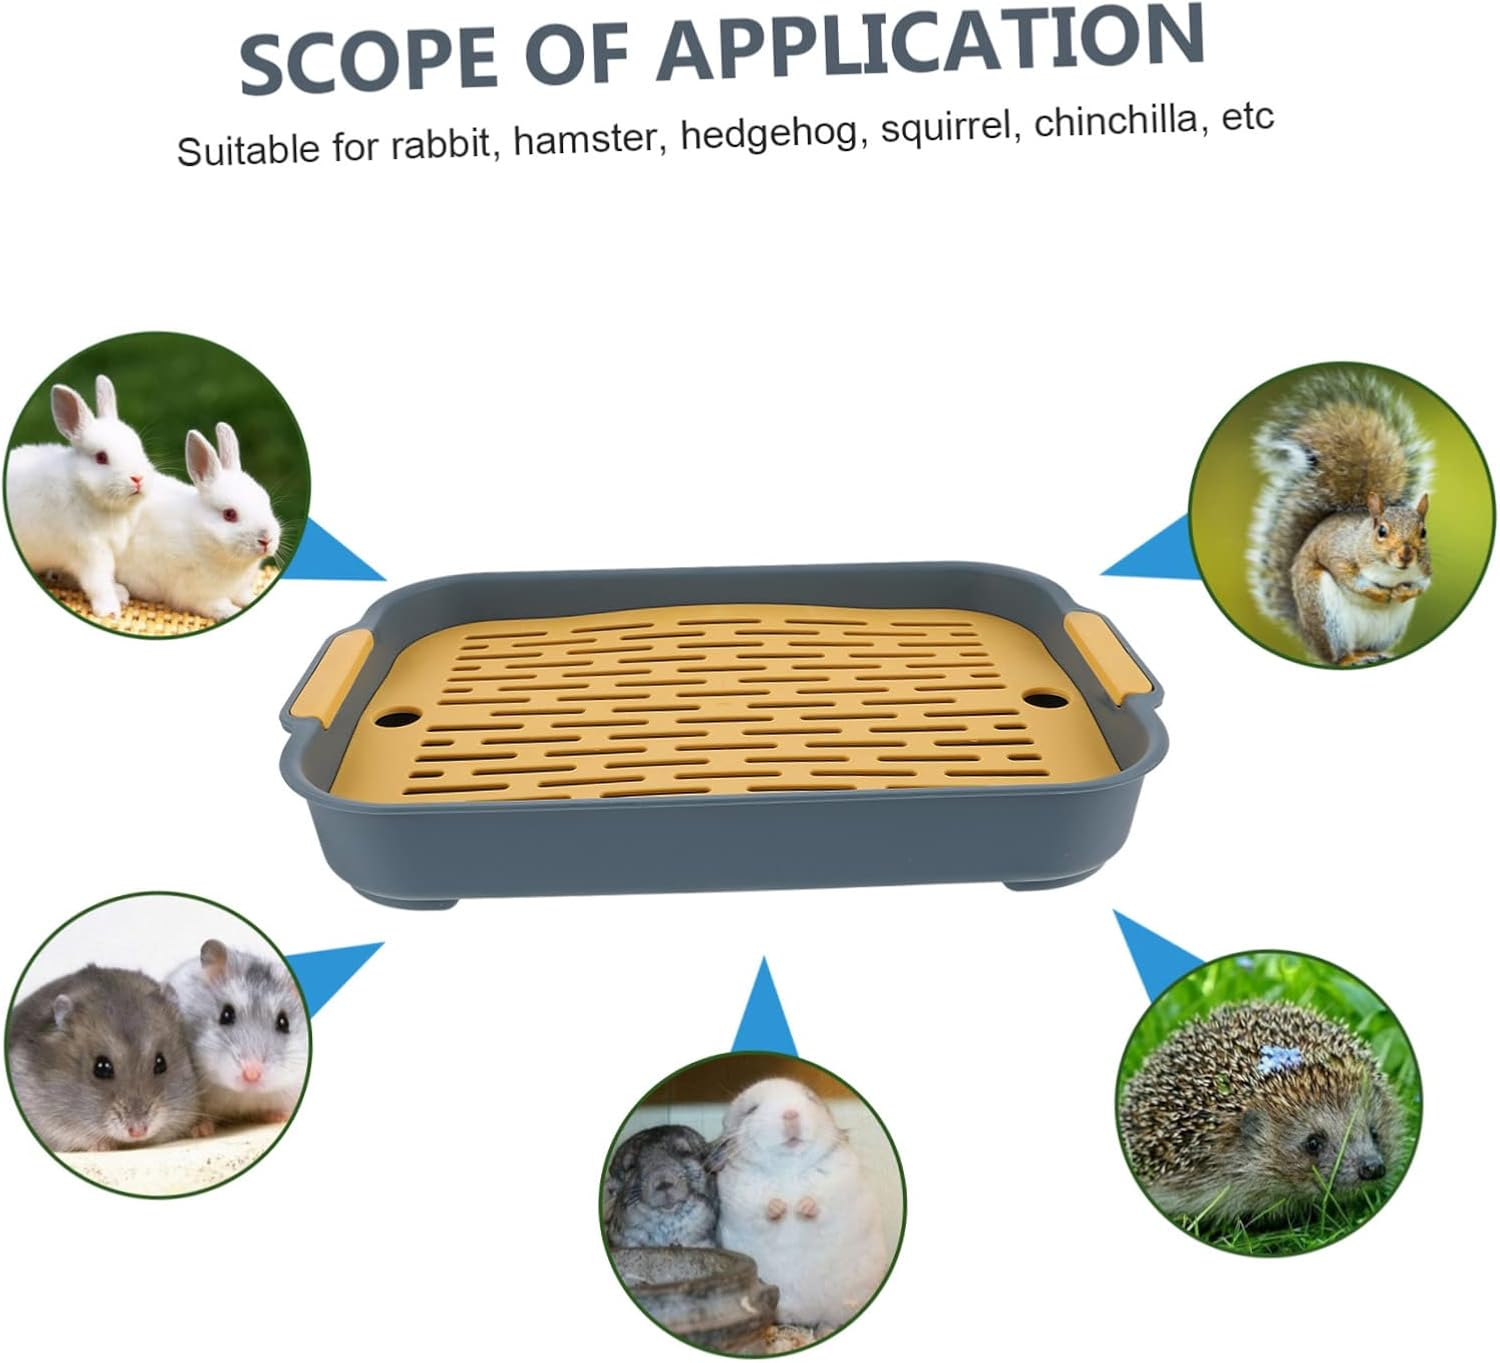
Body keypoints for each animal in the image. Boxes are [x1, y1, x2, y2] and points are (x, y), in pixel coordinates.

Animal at [165, 939, 308, 1133]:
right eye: (226, 1015)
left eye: (283, 1023)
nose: (251, 1074)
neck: (243, 1095)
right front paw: (201, 1130)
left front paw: (281, 1117)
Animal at [710, 1077, 888, 1333]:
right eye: (752, 1110)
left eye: (810, 1099)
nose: (791, 1113)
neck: (789, 1169)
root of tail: (803, 1317)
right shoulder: (742, 1198)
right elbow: (763, 1208)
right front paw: (782, 1207)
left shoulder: (839, 1186)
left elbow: (820, 1202)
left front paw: (801, 1207)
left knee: (829, 1321)